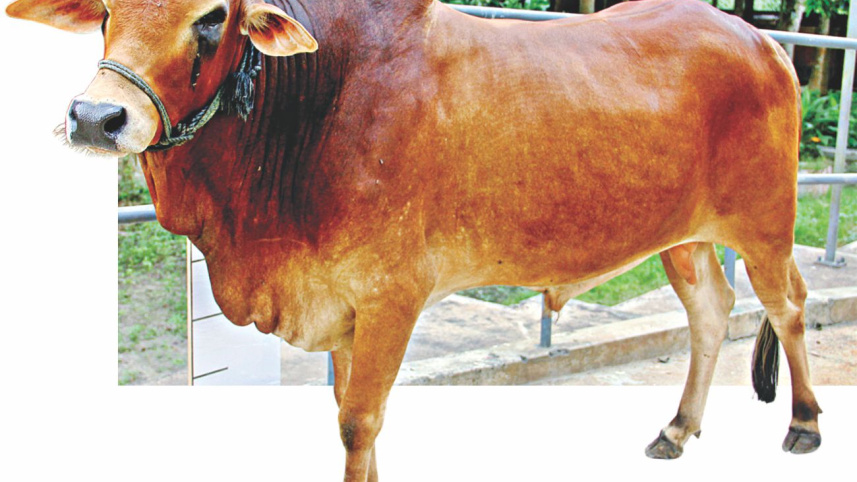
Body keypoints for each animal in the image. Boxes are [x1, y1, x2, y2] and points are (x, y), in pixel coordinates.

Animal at [7, 0, 821, 480]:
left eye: (211, 17)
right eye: (106, 8)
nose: (95, 117)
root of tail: (761, 38)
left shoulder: (390, 298)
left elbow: (357, 422)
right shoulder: (338, 307)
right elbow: (344, 416)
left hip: (765, 224)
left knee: (787, 306)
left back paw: (804, 424)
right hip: (683, 238)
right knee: (712, 312)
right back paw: (677, 429)